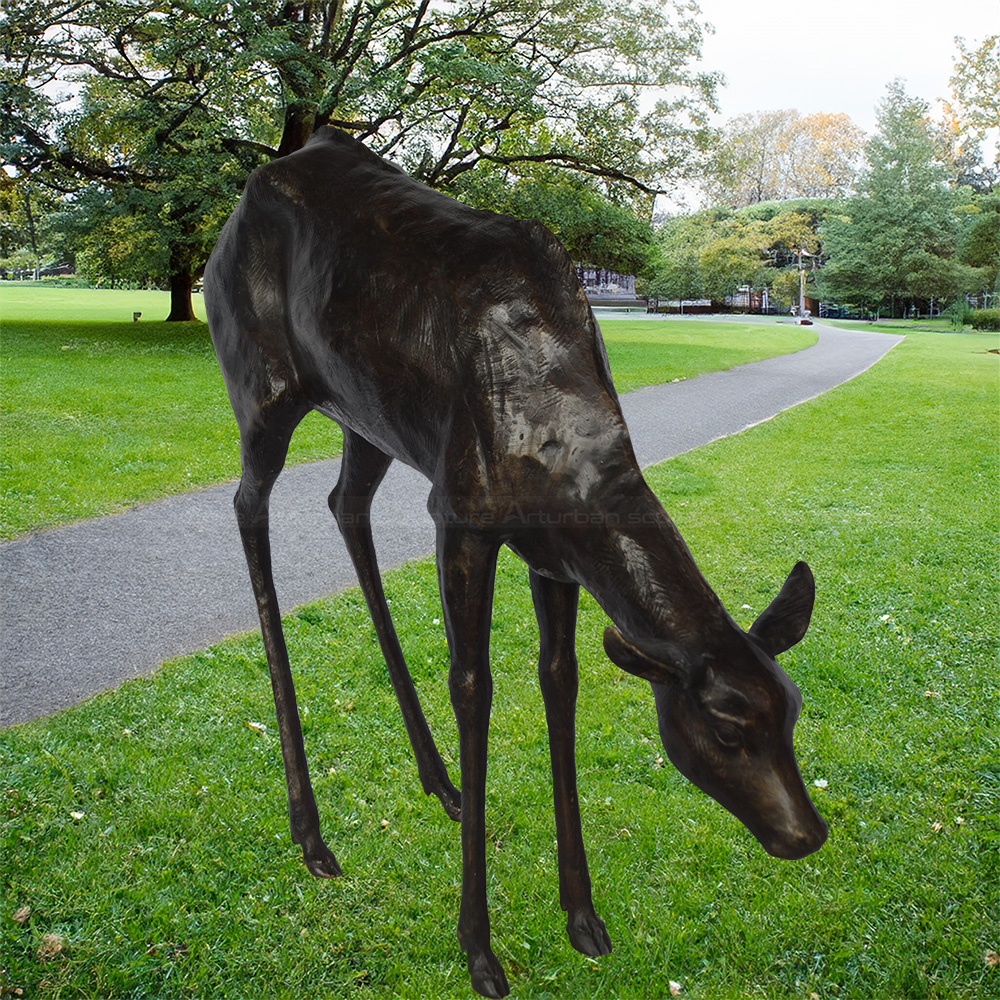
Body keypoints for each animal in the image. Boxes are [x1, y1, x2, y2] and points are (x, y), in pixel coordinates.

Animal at [203, 129, 828, 996]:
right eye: (728, 728)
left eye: (792, 711)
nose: (807, 835)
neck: (565, 460)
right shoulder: (462, 512)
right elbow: (475, 686)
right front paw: (478, 947)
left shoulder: (554, 555)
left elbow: (559, 680)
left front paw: (583, 917)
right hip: (260, 386)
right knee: (247, 503)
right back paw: (312, 832)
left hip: (368, 413)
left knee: (344, 502)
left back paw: (438, 780)